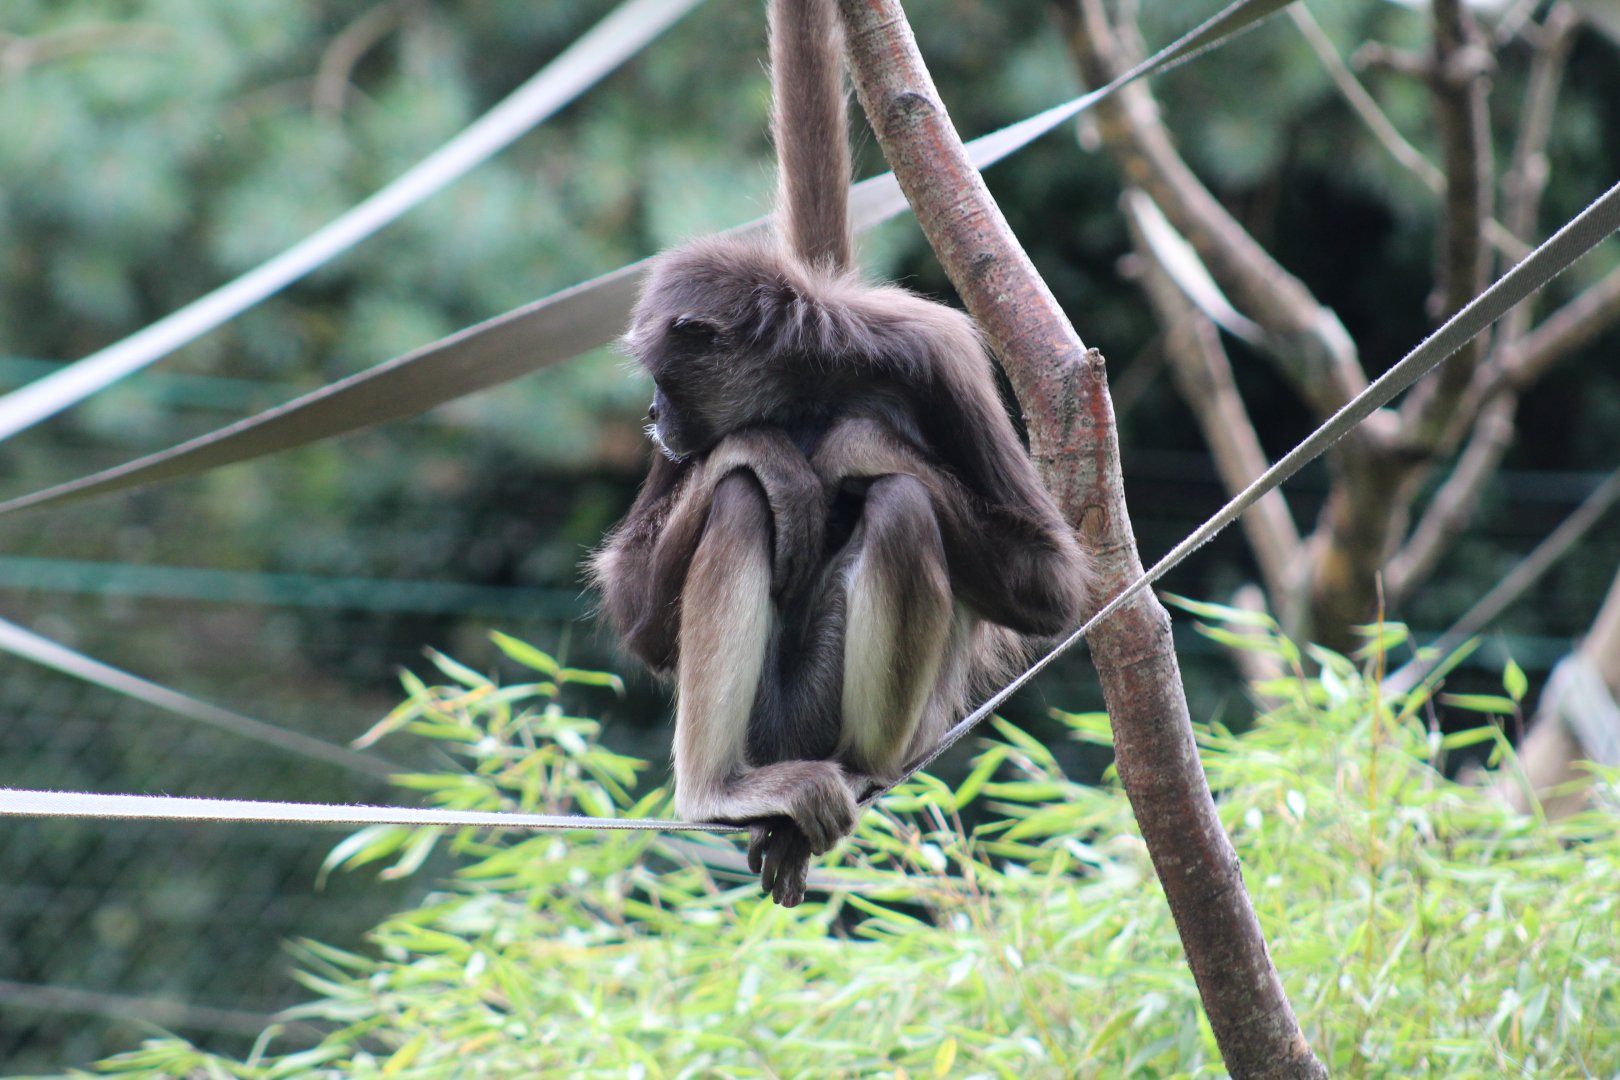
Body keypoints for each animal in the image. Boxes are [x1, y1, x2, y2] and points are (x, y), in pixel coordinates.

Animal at [591, 0, 1091, 905]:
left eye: (661, 381)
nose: (650, 415)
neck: (809, 392)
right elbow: (639, 612)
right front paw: (767, 448)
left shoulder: (937, 356)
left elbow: (1050, 583)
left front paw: (858, 441)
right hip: (770, 722)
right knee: (742, 495)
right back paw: (718, 792)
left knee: (902, 502)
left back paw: (853, 770)